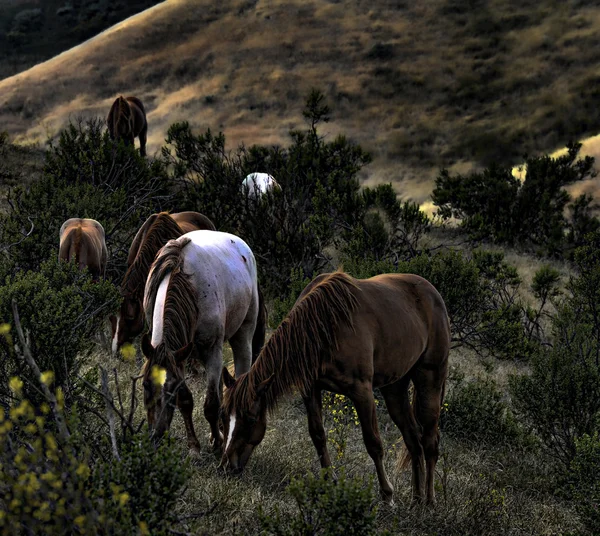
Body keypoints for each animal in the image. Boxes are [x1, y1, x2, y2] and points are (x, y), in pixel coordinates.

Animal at [142, 230, 266, 456]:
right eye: (146, 384)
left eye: (169, 390)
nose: (156, 435)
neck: (189, 286)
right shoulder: (180, 356)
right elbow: (186, 400)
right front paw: (194, 446)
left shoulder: (211, 351)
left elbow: (210, 405)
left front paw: (217, 442)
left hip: (243, 334)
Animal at [220, 270, 450, 504]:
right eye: (223, 415)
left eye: (250, 419)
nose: (226, 465)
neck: (323, 327)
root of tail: (432, 293)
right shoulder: (310, 389)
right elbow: (318, 436)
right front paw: (329, 482)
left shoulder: (362, 392)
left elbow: (373, 443)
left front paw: (387, 495)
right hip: (394, 388)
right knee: (413, 439)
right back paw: (416, 498)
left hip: (430, 379)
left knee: (430, 442)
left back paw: (429, 501)